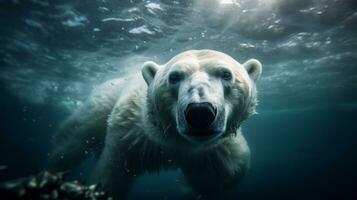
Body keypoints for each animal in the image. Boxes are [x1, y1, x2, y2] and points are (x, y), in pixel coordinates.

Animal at [47, 49, 260, 198]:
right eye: (174, 77)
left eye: (226, 74)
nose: (200, 112)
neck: (172, 140)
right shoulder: (128, 134)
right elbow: (111, 173)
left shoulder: (215, 150)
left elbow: (228, 172)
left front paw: (187, 187)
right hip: (103, 100)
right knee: (74, 138)